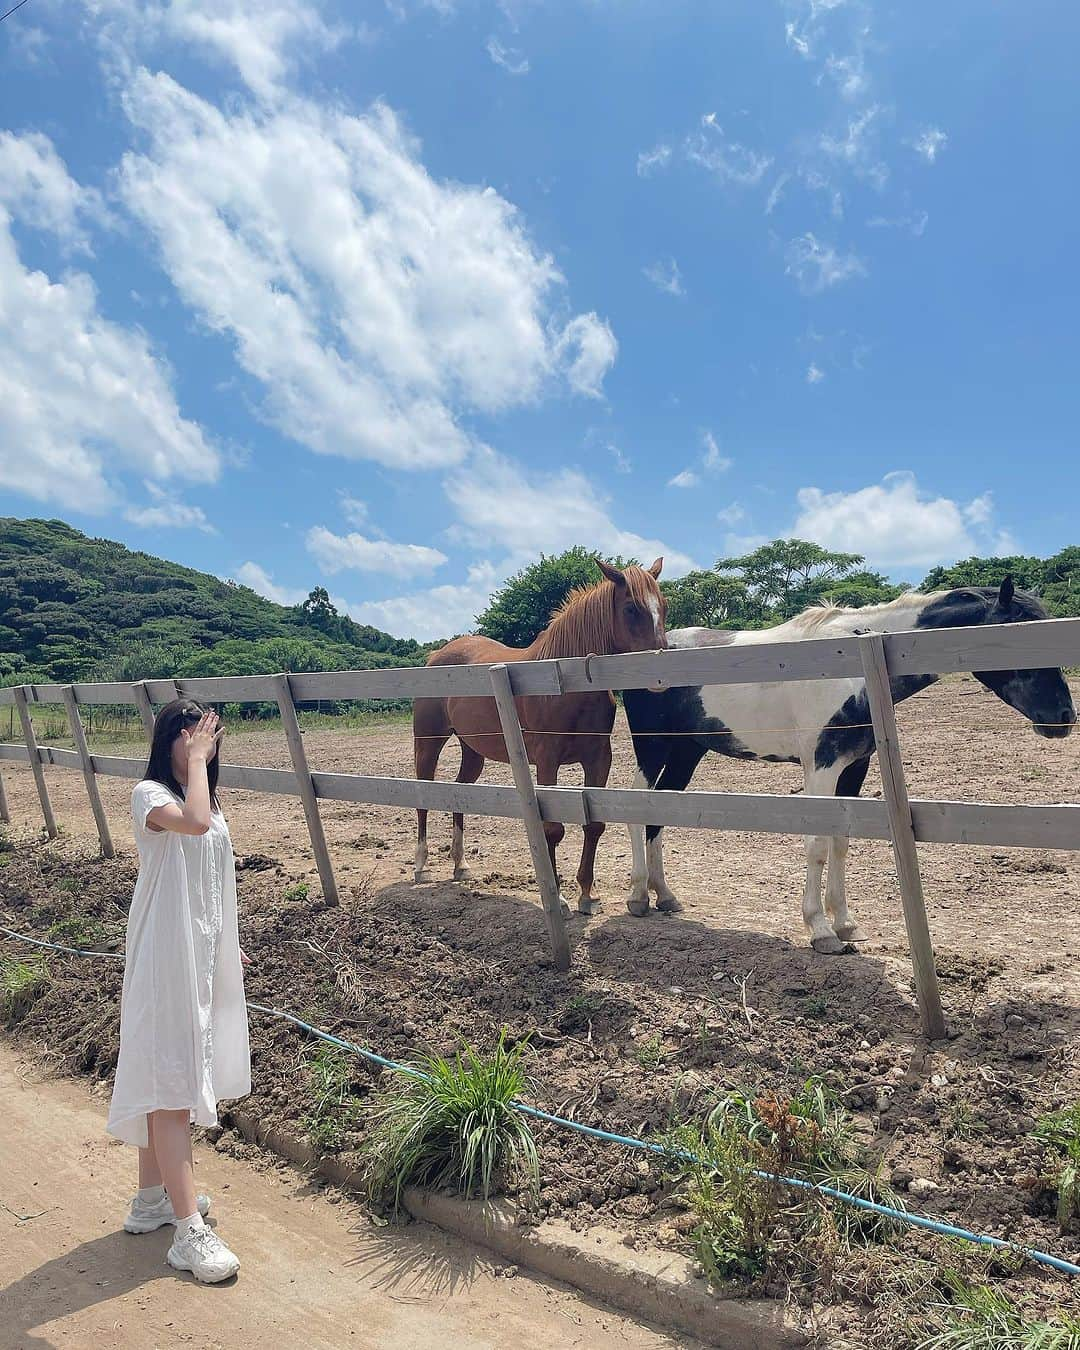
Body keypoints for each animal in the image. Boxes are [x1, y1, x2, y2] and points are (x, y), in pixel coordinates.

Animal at [413, 553, 666, 912]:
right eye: (632, 608)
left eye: (663, 605)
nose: (661, 675)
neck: (562, 683)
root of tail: (437, 656)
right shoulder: (548, 762)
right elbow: (552, 830)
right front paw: (558, 896)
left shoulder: (598, 760)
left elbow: (594, 825)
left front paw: (588, 894)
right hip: (428, 743)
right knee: (422, 797)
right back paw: (421, 866)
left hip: (473, 752)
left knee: (459, 792)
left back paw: (460, 865)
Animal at [621, 577, 1074, 950]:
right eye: (1017, 640)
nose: (1064, 717)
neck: (852, 664)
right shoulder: (821, 767)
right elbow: (817, 844)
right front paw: (820, 930)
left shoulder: (854, 767)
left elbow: (840, 842)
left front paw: (846, 924)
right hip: (652, 748)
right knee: (633, 806)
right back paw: (639, 896)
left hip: (686, 753)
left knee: (657, 813)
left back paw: (665, 896)